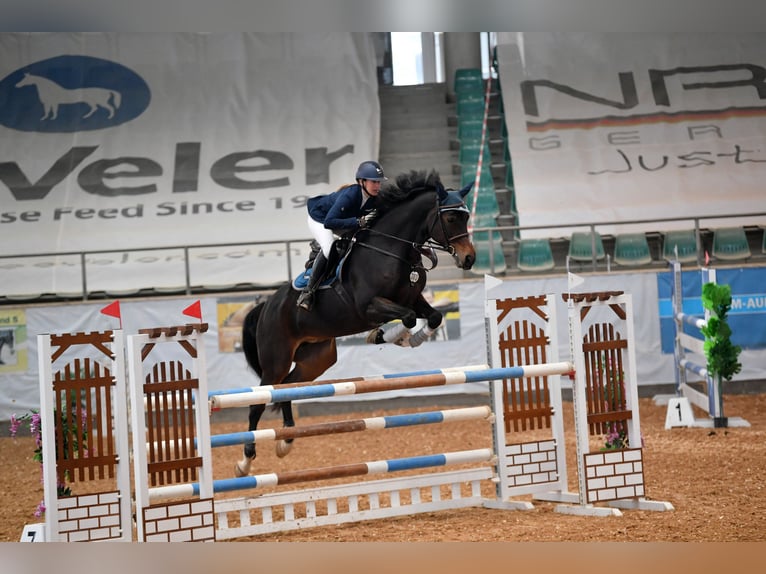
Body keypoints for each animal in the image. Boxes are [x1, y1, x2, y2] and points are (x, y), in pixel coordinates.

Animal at [236, 170, 474, 476]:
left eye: (465, 217)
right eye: (451, 218)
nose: (469, 259)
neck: (391, 249)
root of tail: (266, 306)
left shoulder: (413, 297)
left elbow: (433, 316)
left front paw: (409, 338)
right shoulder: (368, 306)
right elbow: (407, 317)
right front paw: (386, 336)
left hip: (317, 358)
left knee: (288, 389)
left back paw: (286, 441)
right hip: (275, 360)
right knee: (259, 401)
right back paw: (245, 461)